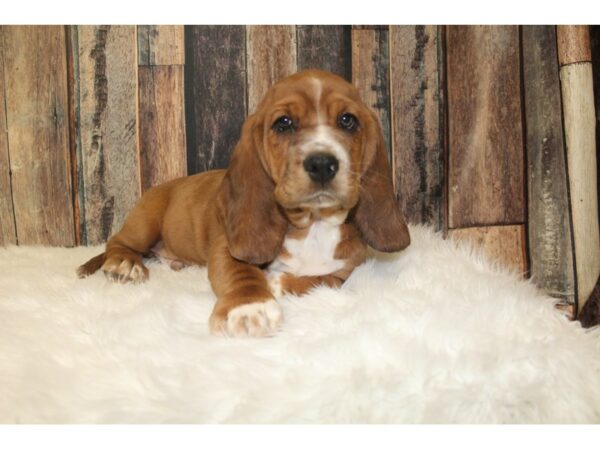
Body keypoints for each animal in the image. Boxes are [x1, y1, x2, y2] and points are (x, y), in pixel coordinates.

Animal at [77, 69, 410, 338]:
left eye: (348, 120)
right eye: (283, 123)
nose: (322, 164)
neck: (313, 225)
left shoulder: (345, 271)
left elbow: (321, 281)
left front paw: (277, 283)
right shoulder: (226, 248)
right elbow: (243, 273)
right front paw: (250, 306)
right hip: (144, 222)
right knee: (116, 242)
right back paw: (125, 264)